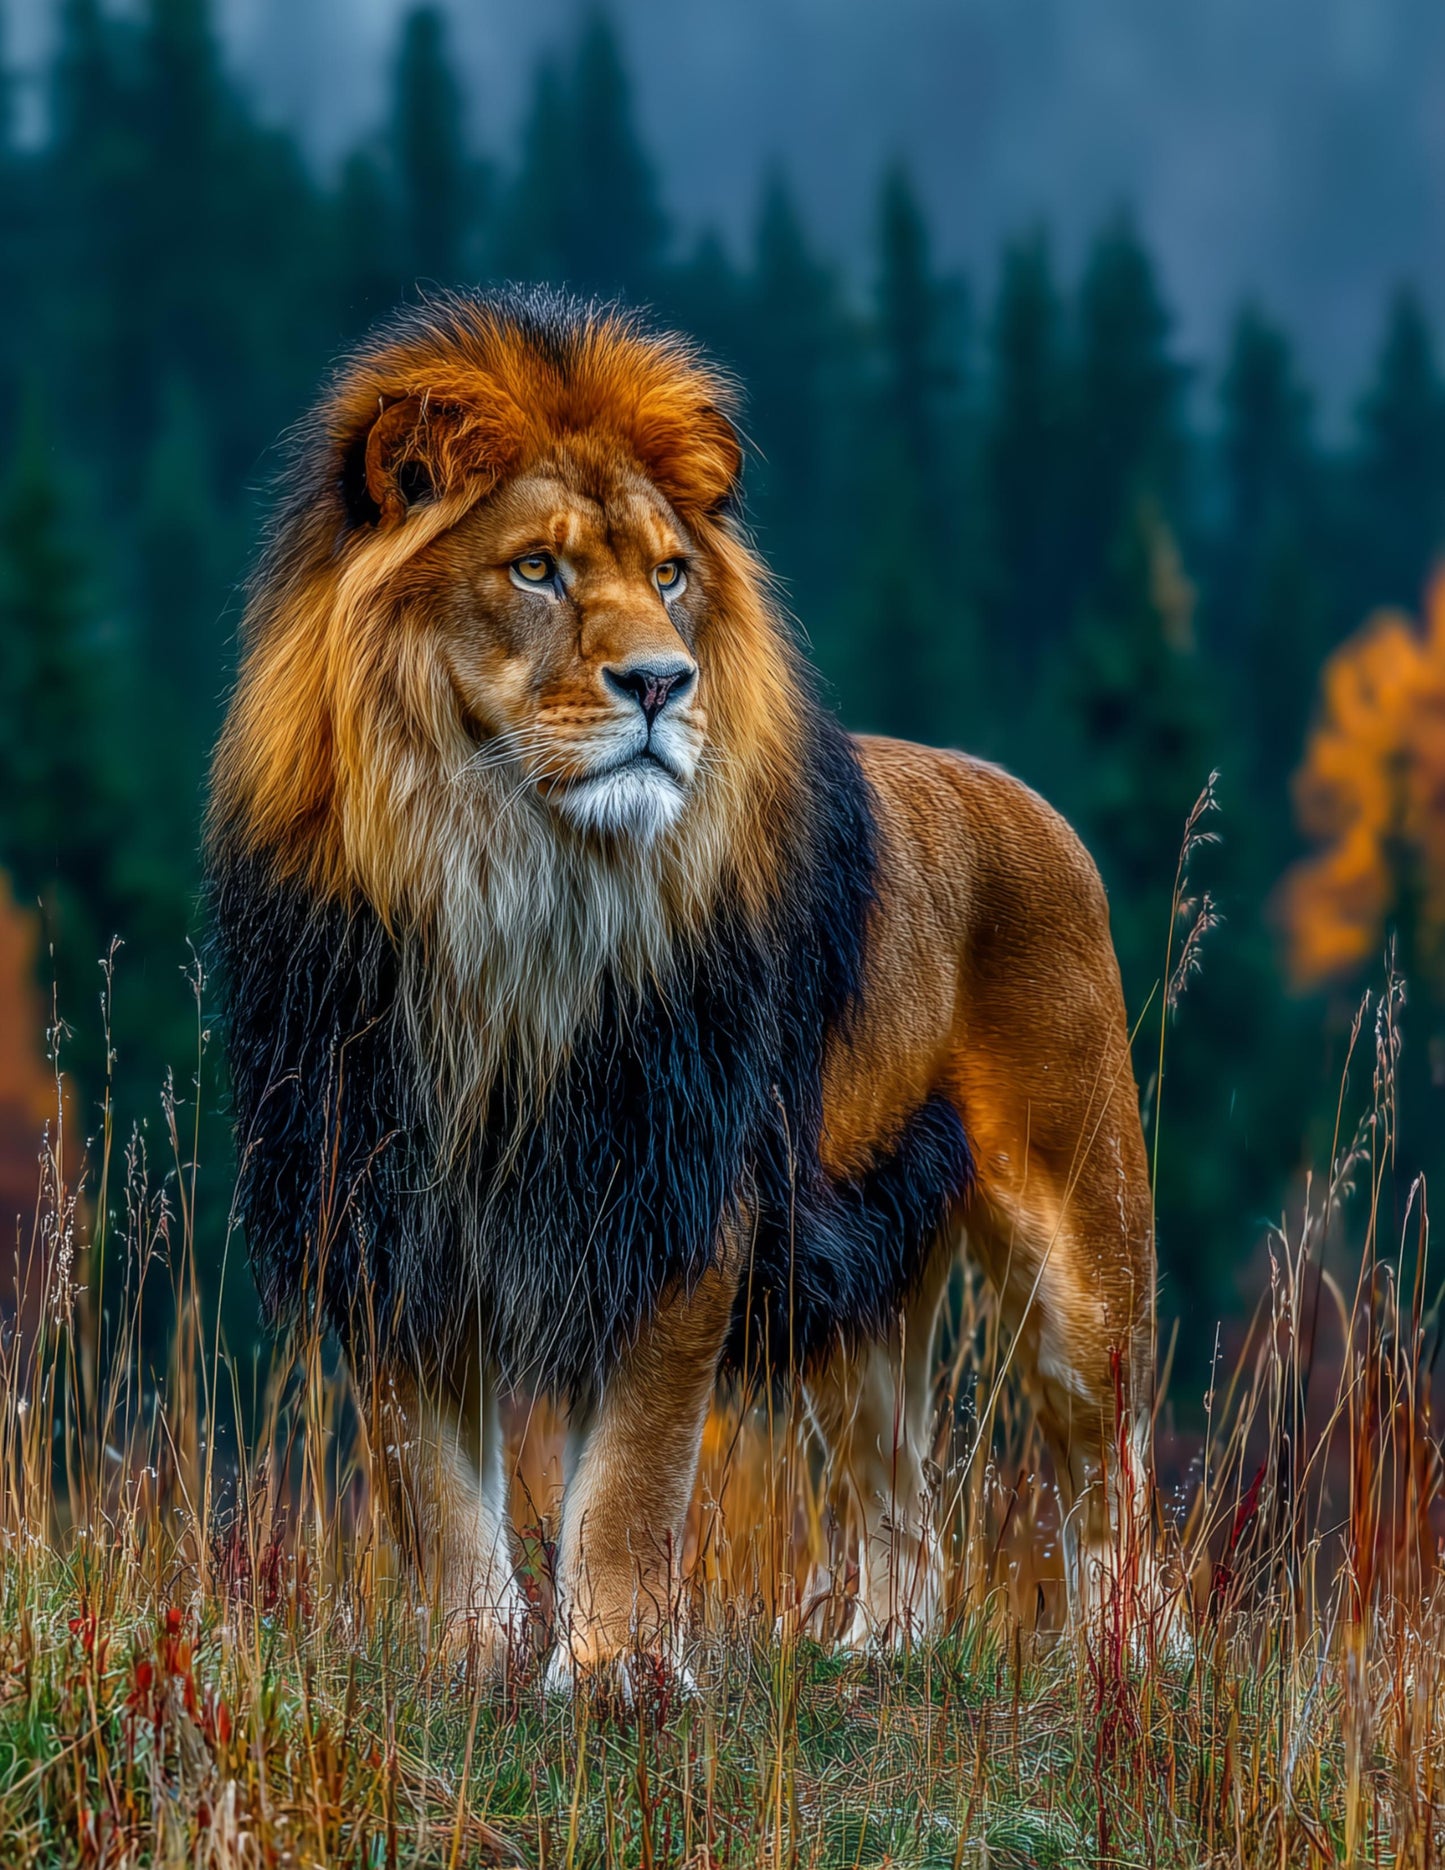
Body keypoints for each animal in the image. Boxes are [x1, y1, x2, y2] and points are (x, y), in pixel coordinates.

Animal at [207, 286, 1158, 1684]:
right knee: (900, 1498)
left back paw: (1128, 1661)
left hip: (1079, 1249)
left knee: (1111, 1472)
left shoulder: (676, 1195)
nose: (661, 681)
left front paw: (612, 1673)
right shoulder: (385, 1202)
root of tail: (1024, 798)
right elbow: (428, 1475)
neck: (514, 890)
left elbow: (632, 1472)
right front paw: (468, 1656)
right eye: (535, 569)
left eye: (668, 574)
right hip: (851, 1287)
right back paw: (877, 1651)